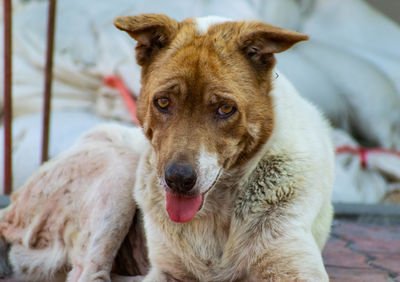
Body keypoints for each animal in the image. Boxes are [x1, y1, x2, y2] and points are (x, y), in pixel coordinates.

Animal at [0, 13, 334, 282]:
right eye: (162, 102)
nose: (178, 179)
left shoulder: (293, 266)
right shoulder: (168, 270)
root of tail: (12, 205)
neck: (216, 213)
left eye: (226, 109)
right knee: (87, 273)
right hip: (120, 167)